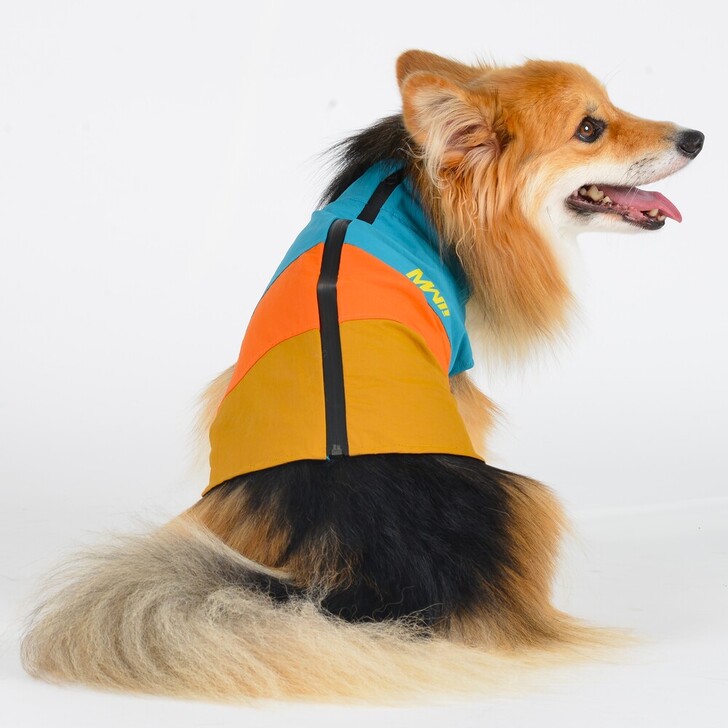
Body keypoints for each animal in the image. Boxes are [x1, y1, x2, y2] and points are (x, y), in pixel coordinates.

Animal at [21, 50, 704, 702]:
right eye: (590, 128)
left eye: (612, 105)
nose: (696, 137)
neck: (407, 184)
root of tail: (358, 578)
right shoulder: (459, 375)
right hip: (532, 499)